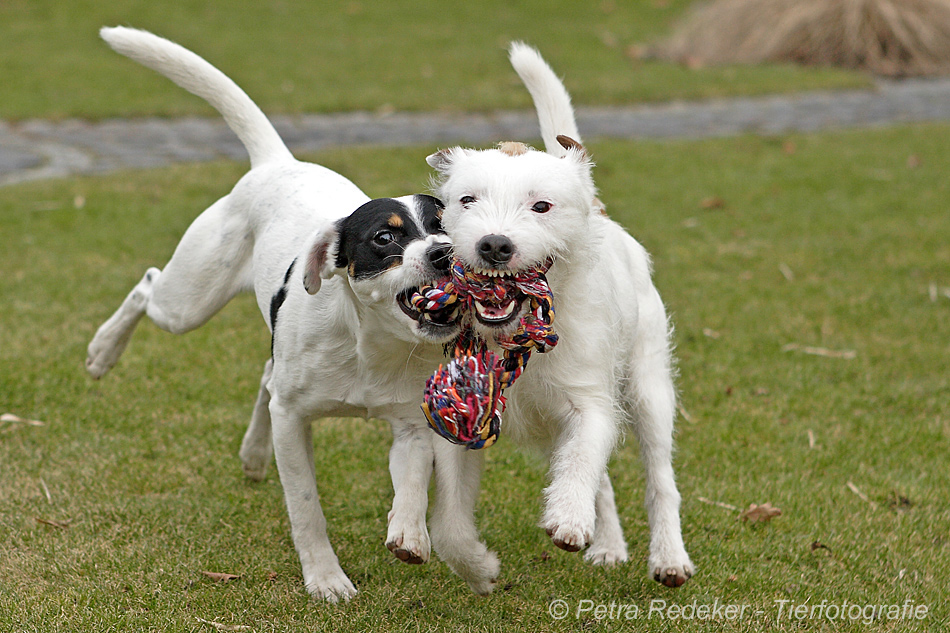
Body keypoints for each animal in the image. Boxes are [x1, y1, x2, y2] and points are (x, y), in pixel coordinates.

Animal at [86, 28, 464, 604]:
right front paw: (326, 578)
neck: (368, 347)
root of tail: (276, 162)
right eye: (385, 237)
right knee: (148, 286)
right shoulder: (292, 420)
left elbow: (414, 481)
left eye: (451, 223)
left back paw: (253, 454)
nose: (445, 253)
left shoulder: (408, 423)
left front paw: (409, 533)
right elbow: (306, 507)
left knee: (266, 373)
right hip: (188, 301)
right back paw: (103, 351)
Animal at [428, 43, 696, 588]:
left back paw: (669, 557)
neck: (516, 337)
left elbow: (585, 458)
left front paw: (568, 517)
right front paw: (481, 570)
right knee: (604, 480)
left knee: (659, 478)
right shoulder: (461, 417)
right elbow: (449, 526)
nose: (494, 244)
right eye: (467, 200)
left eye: (542, 206)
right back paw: (609, 545)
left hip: (649, 388)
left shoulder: (589, 402)